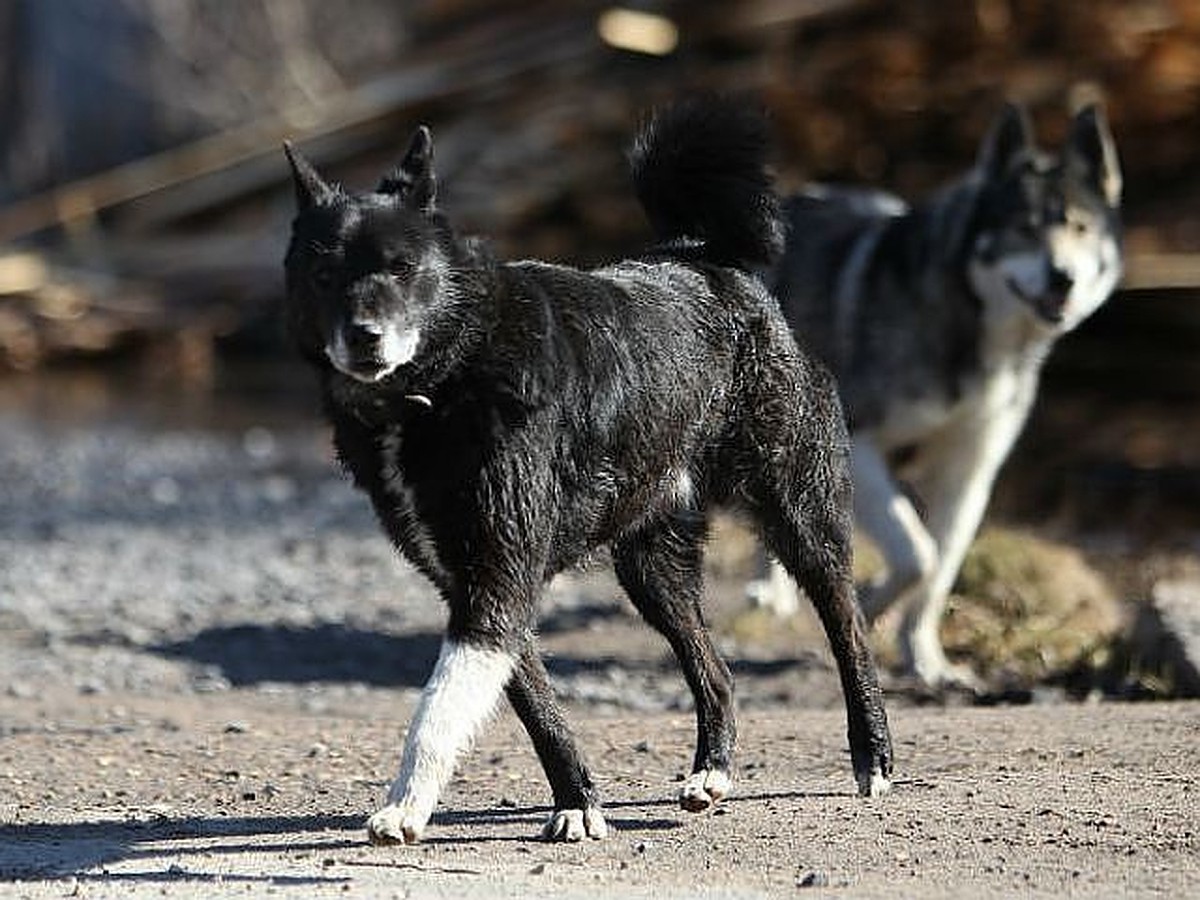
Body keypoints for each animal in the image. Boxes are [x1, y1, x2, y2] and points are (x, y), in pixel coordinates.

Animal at [280, 102, 892, 849]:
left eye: (402, 267)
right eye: (324, 275)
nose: (364, 337)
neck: (446, 380)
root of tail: (703, 256)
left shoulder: (497, 576)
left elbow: (438, 708)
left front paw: (404, 806)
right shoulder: (476, 585)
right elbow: (532, 705)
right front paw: (577, 802)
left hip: (797, 514)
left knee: (847, 624)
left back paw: (873, 755)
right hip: (653, 568)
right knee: (714, 670)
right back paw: (711, 773)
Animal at [768, 103, 1123, 691]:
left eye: (1080, 226)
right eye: (1024, 228)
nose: (1063, 278)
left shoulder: (970, 470)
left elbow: (939, 569)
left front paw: (925, 660)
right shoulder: (859, 443)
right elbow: (919, 555)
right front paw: (871, 605)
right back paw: (768, 591)